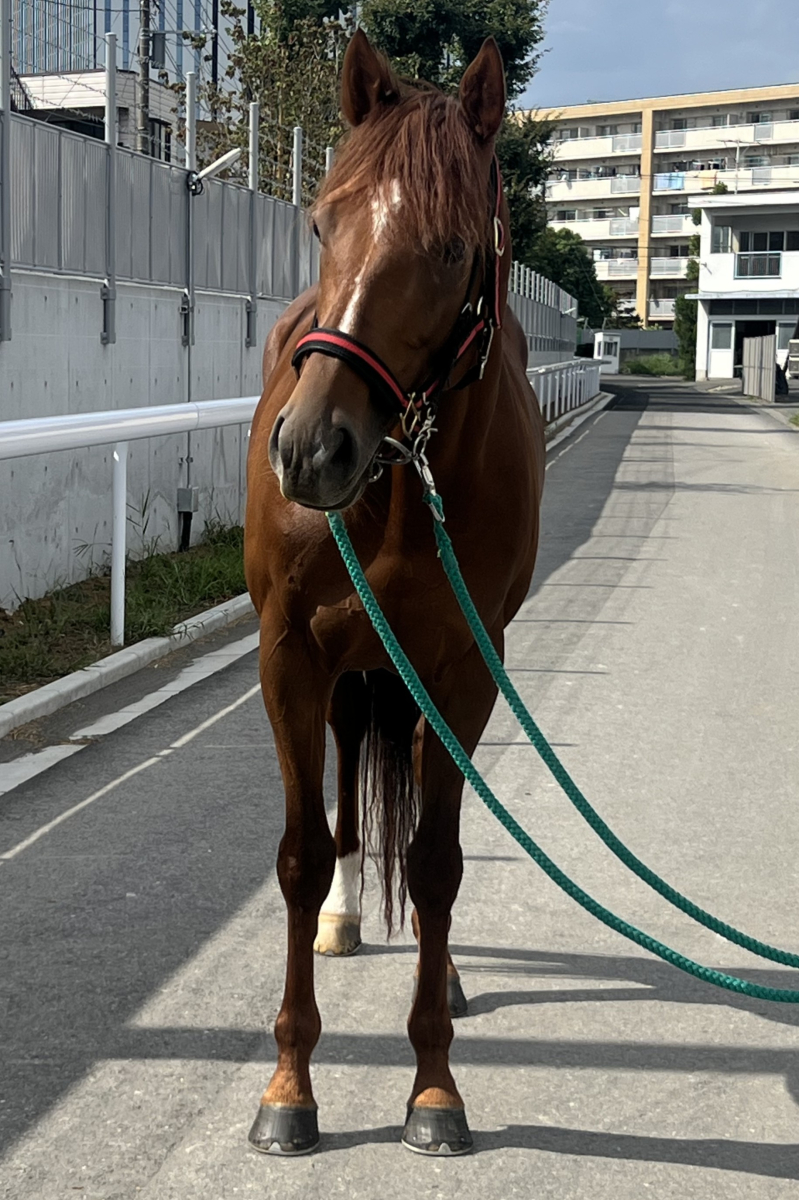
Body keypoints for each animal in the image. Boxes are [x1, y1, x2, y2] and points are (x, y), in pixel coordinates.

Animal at [244, 29, 546, 1156]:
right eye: (321, 222)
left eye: (454, 250)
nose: (309, 448)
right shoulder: (288, 654)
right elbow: (300, 856)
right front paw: (289, 1085)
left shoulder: (464, 671)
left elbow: (437, 862)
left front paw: (433, 1087)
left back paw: (440, 965)